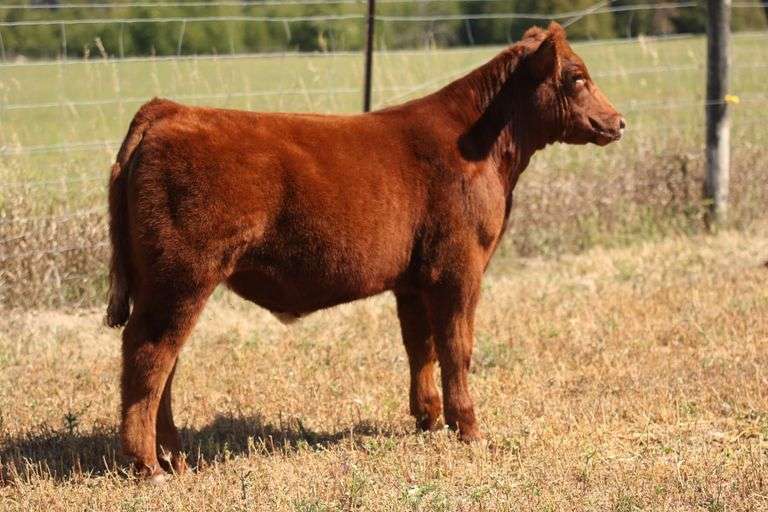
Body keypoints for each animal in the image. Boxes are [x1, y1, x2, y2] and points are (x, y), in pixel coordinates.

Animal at [106, 22, 624, 481]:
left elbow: (421, 346)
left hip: (166, 282)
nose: (618, 121)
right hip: (183, 276)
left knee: (164, 361)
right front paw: (470, 429)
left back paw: (174, 457)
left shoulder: (415, 280)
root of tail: (167, 110)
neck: (484, 147)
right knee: (149, 354)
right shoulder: (459, 269)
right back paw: (149, 466)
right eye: (577, 76)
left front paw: (428, 420)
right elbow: (457, 348)